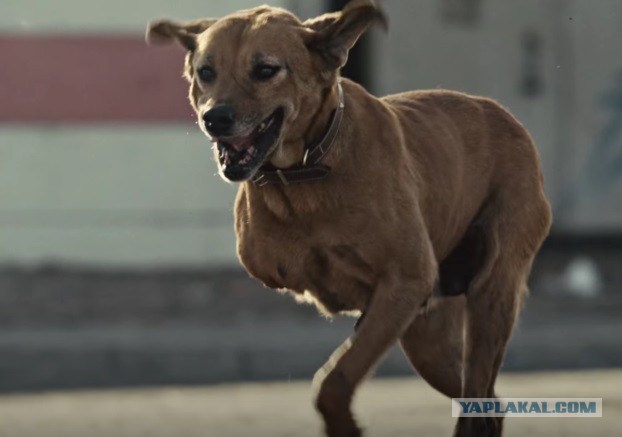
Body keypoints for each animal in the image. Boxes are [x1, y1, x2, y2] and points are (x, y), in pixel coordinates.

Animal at [147, 1, 556, 434]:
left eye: (265, 70)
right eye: (206, 72)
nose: (215, 118)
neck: (307, 170)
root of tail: (505, 116)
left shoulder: (404, 284)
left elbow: (337, 376)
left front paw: (342, 420)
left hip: (490, 298)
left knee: (480, 386)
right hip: (427, 343)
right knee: (486, 401)